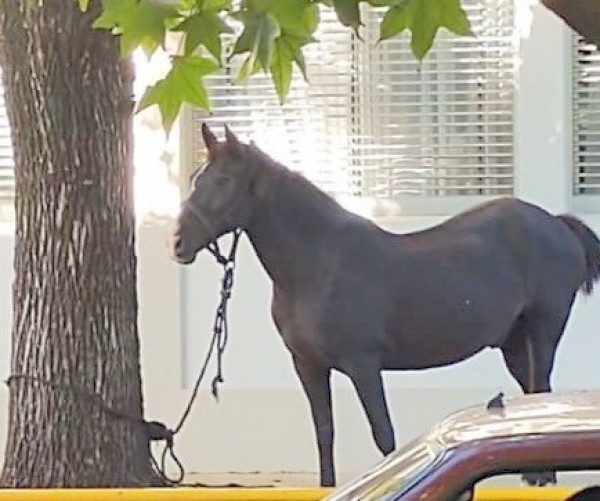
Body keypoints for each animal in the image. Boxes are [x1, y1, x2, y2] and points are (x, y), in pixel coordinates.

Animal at [170, 123, 600, 486]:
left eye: (223, 180)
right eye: (196, 180)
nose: (177, 243)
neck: (318, 264)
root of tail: (557, 224)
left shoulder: (363, 364)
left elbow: (384, 435)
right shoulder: (308, 365)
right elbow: (324, 432)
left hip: (543, 331)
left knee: (541, 391)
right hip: (513, 343)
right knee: (532, 396)